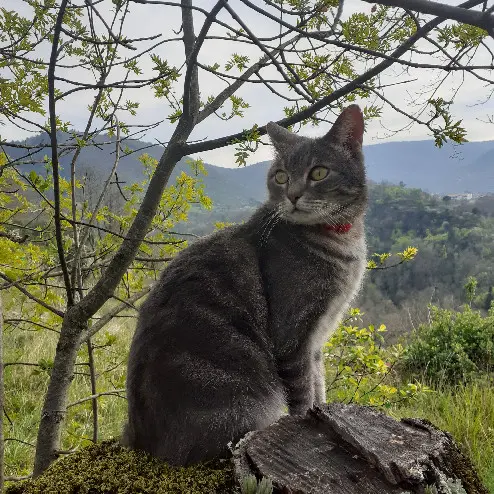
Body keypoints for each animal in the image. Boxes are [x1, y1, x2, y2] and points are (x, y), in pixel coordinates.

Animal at [125, 102, 368, 466]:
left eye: (319, 173)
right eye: (281, 176)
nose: (292, 195)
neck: (341, 242)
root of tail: (139, 442)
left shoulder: (317, 339)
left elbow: (319, 384)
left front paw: (325, 413)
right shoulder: (294, 336)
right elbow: (303, 393)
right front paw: (308, 425)